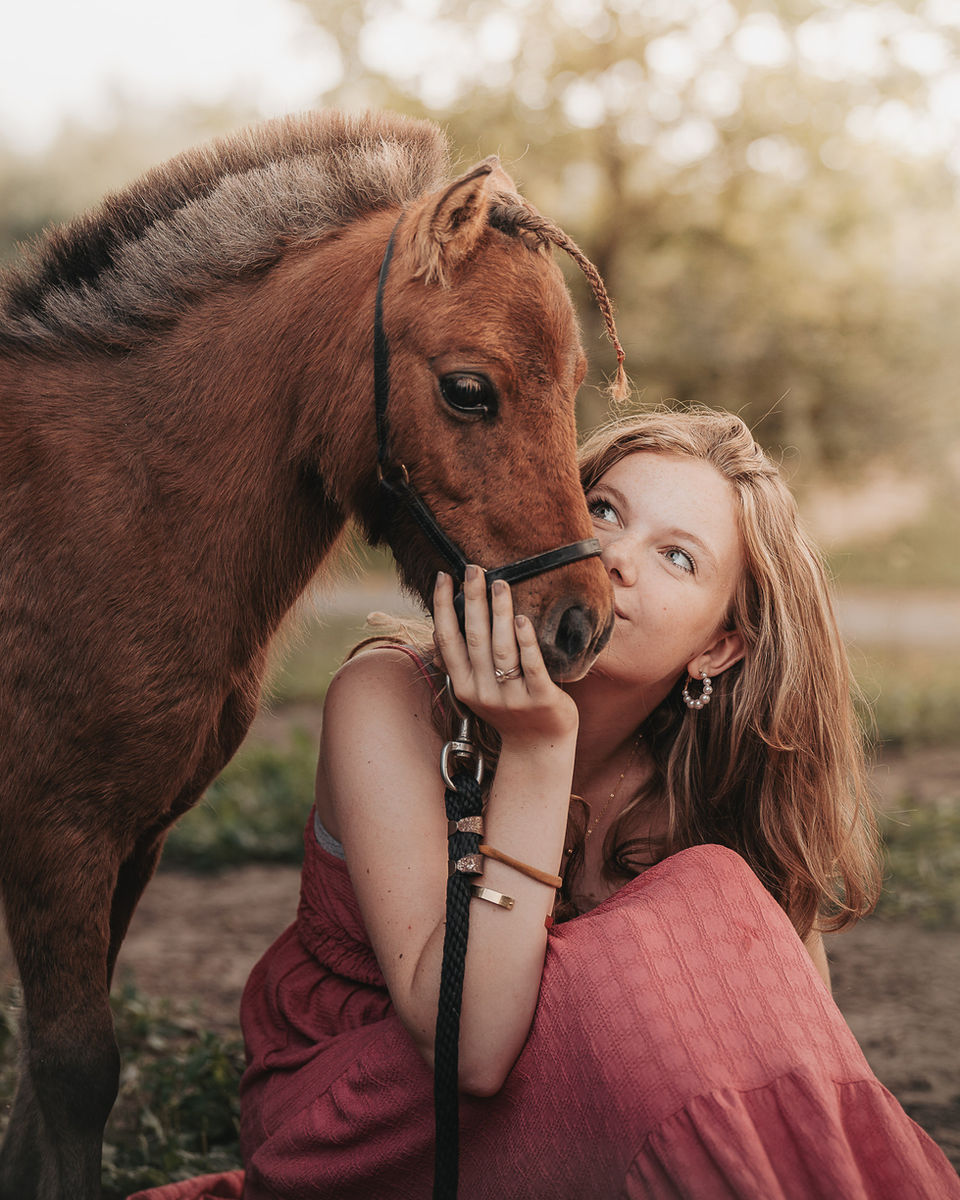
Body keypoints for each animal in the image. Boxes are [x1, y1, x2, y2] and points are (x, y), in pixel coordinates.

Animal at [0, 110, 626, 1198]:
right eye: (469, 390)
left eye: (578, 387)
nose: (578, 627)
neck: (97, 509)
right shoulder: (54, 835)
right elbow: (74, 1074)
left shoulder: (128, 841)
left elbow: (37, 1096)